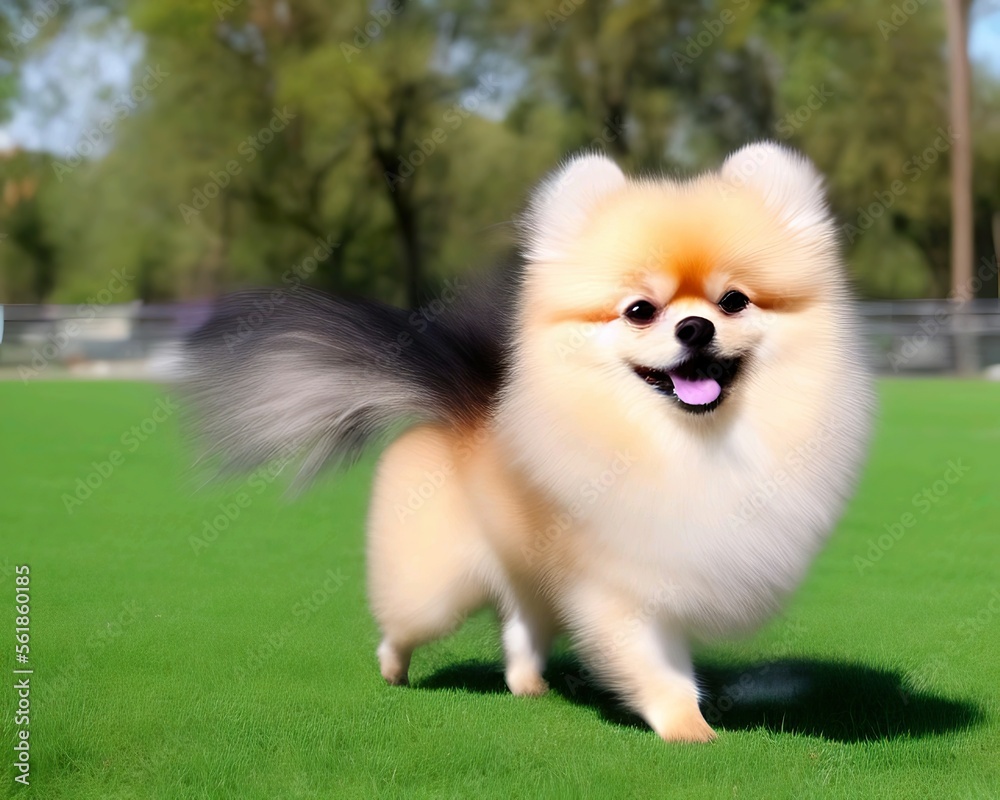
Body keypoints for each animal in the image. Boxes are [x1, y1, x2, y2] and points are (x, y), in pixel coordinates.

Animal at [184, 141, 872, 740]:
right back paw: (393, 670)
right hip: (435, 588)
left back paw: (528, 685)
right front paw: (689, 730)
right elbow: (658, 669)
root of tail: (460, 413)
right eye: (640, 310)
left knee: (520, 630)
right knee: (403, 626)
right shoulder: (617, 590)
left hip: (527, 581)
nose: (696, 327)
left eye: (733, 301)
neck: (685, 443)